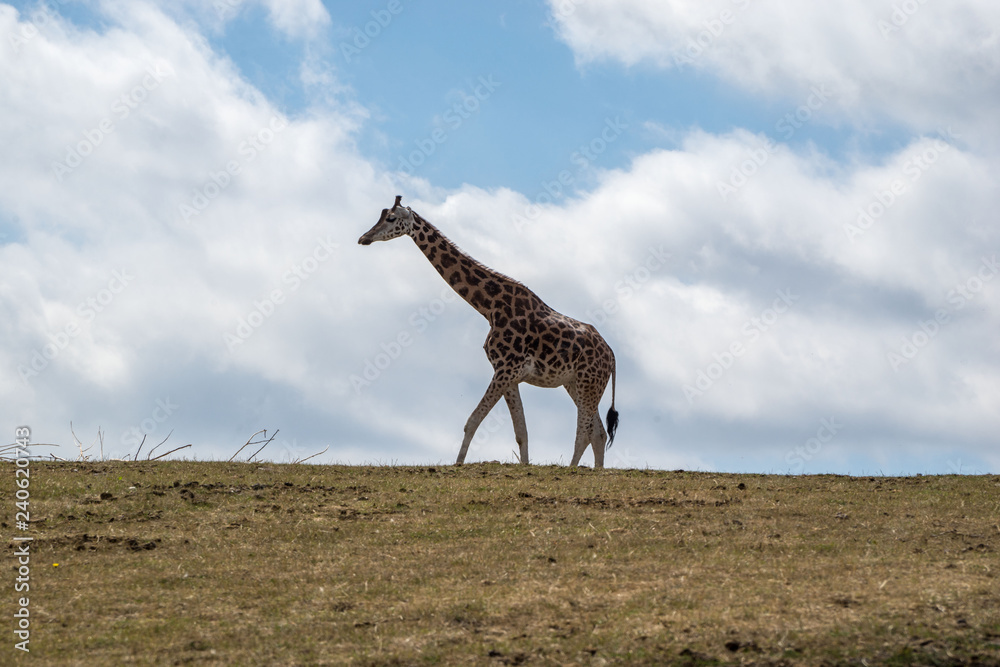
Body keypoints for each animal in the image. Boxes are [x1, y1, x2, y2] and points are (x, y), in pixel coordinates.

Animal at [358, 196, 619, 468]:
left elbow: (472, 421)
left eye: (391, 218)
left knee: (585, 431)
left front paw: (458, 465)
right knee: (599, 433)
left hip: (588, 382)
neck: (489, 306)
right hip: (576, 383)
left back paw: (572, 469)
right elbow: (521, 431)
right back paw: (595, 471)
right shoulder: (509, 373)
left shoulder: (506, 369)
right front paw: (524, 466)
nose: (364, 238)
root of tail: (612, 356)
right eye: (380, 215)